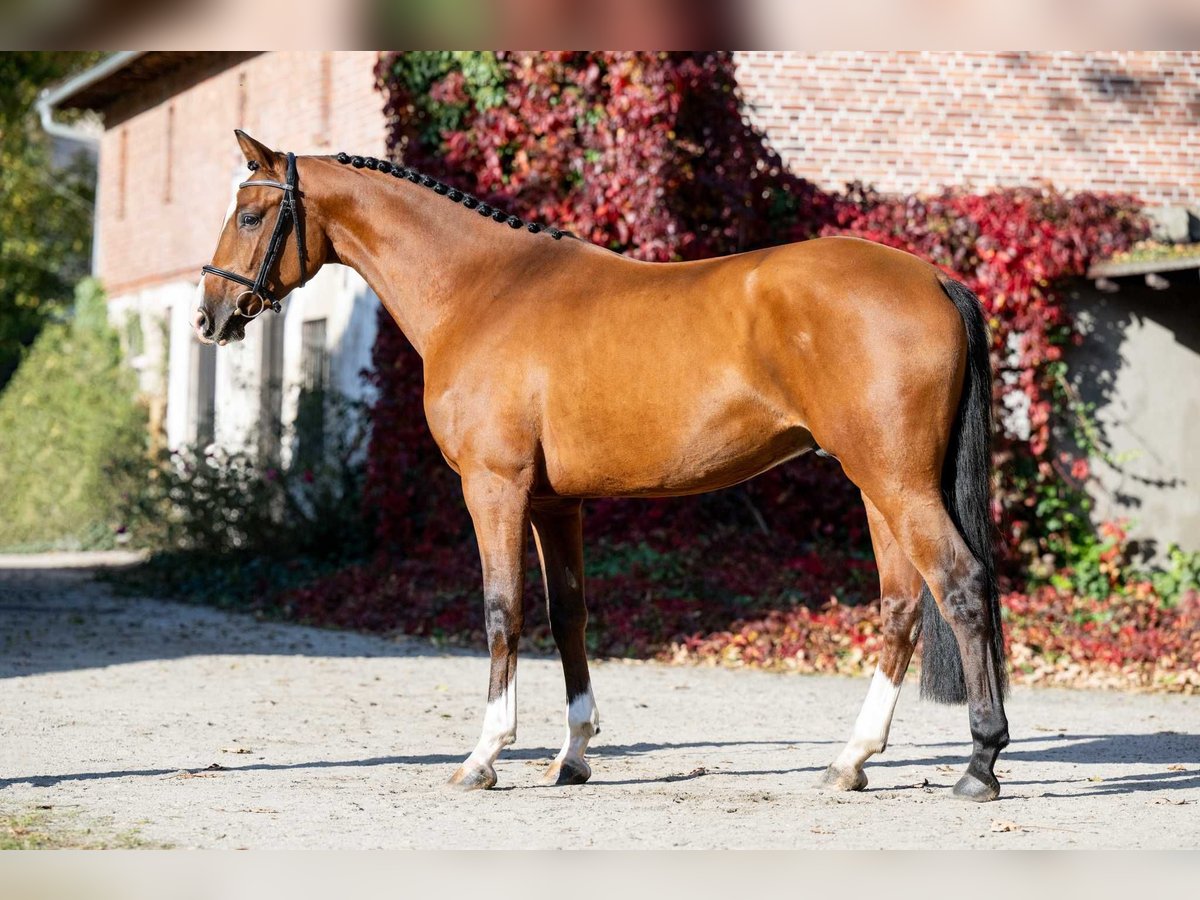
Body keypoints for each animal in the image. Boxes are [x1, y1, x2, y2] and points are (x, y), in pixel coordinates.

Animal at [201, 132, 1008, 801]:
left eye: (251, 216)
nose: (210, 317)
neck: (482, 289)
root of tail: (933, 279)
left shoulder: (494, 488)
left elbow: (503, 610)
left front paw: (485, 756)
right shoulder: (557, 503)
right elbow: (570, 614)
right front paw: (573, 756)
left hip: (898, 485)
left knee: (960, 585)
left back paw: (979, 765)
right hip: (878, 487)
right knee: (902, 607)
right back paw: (850, 761)